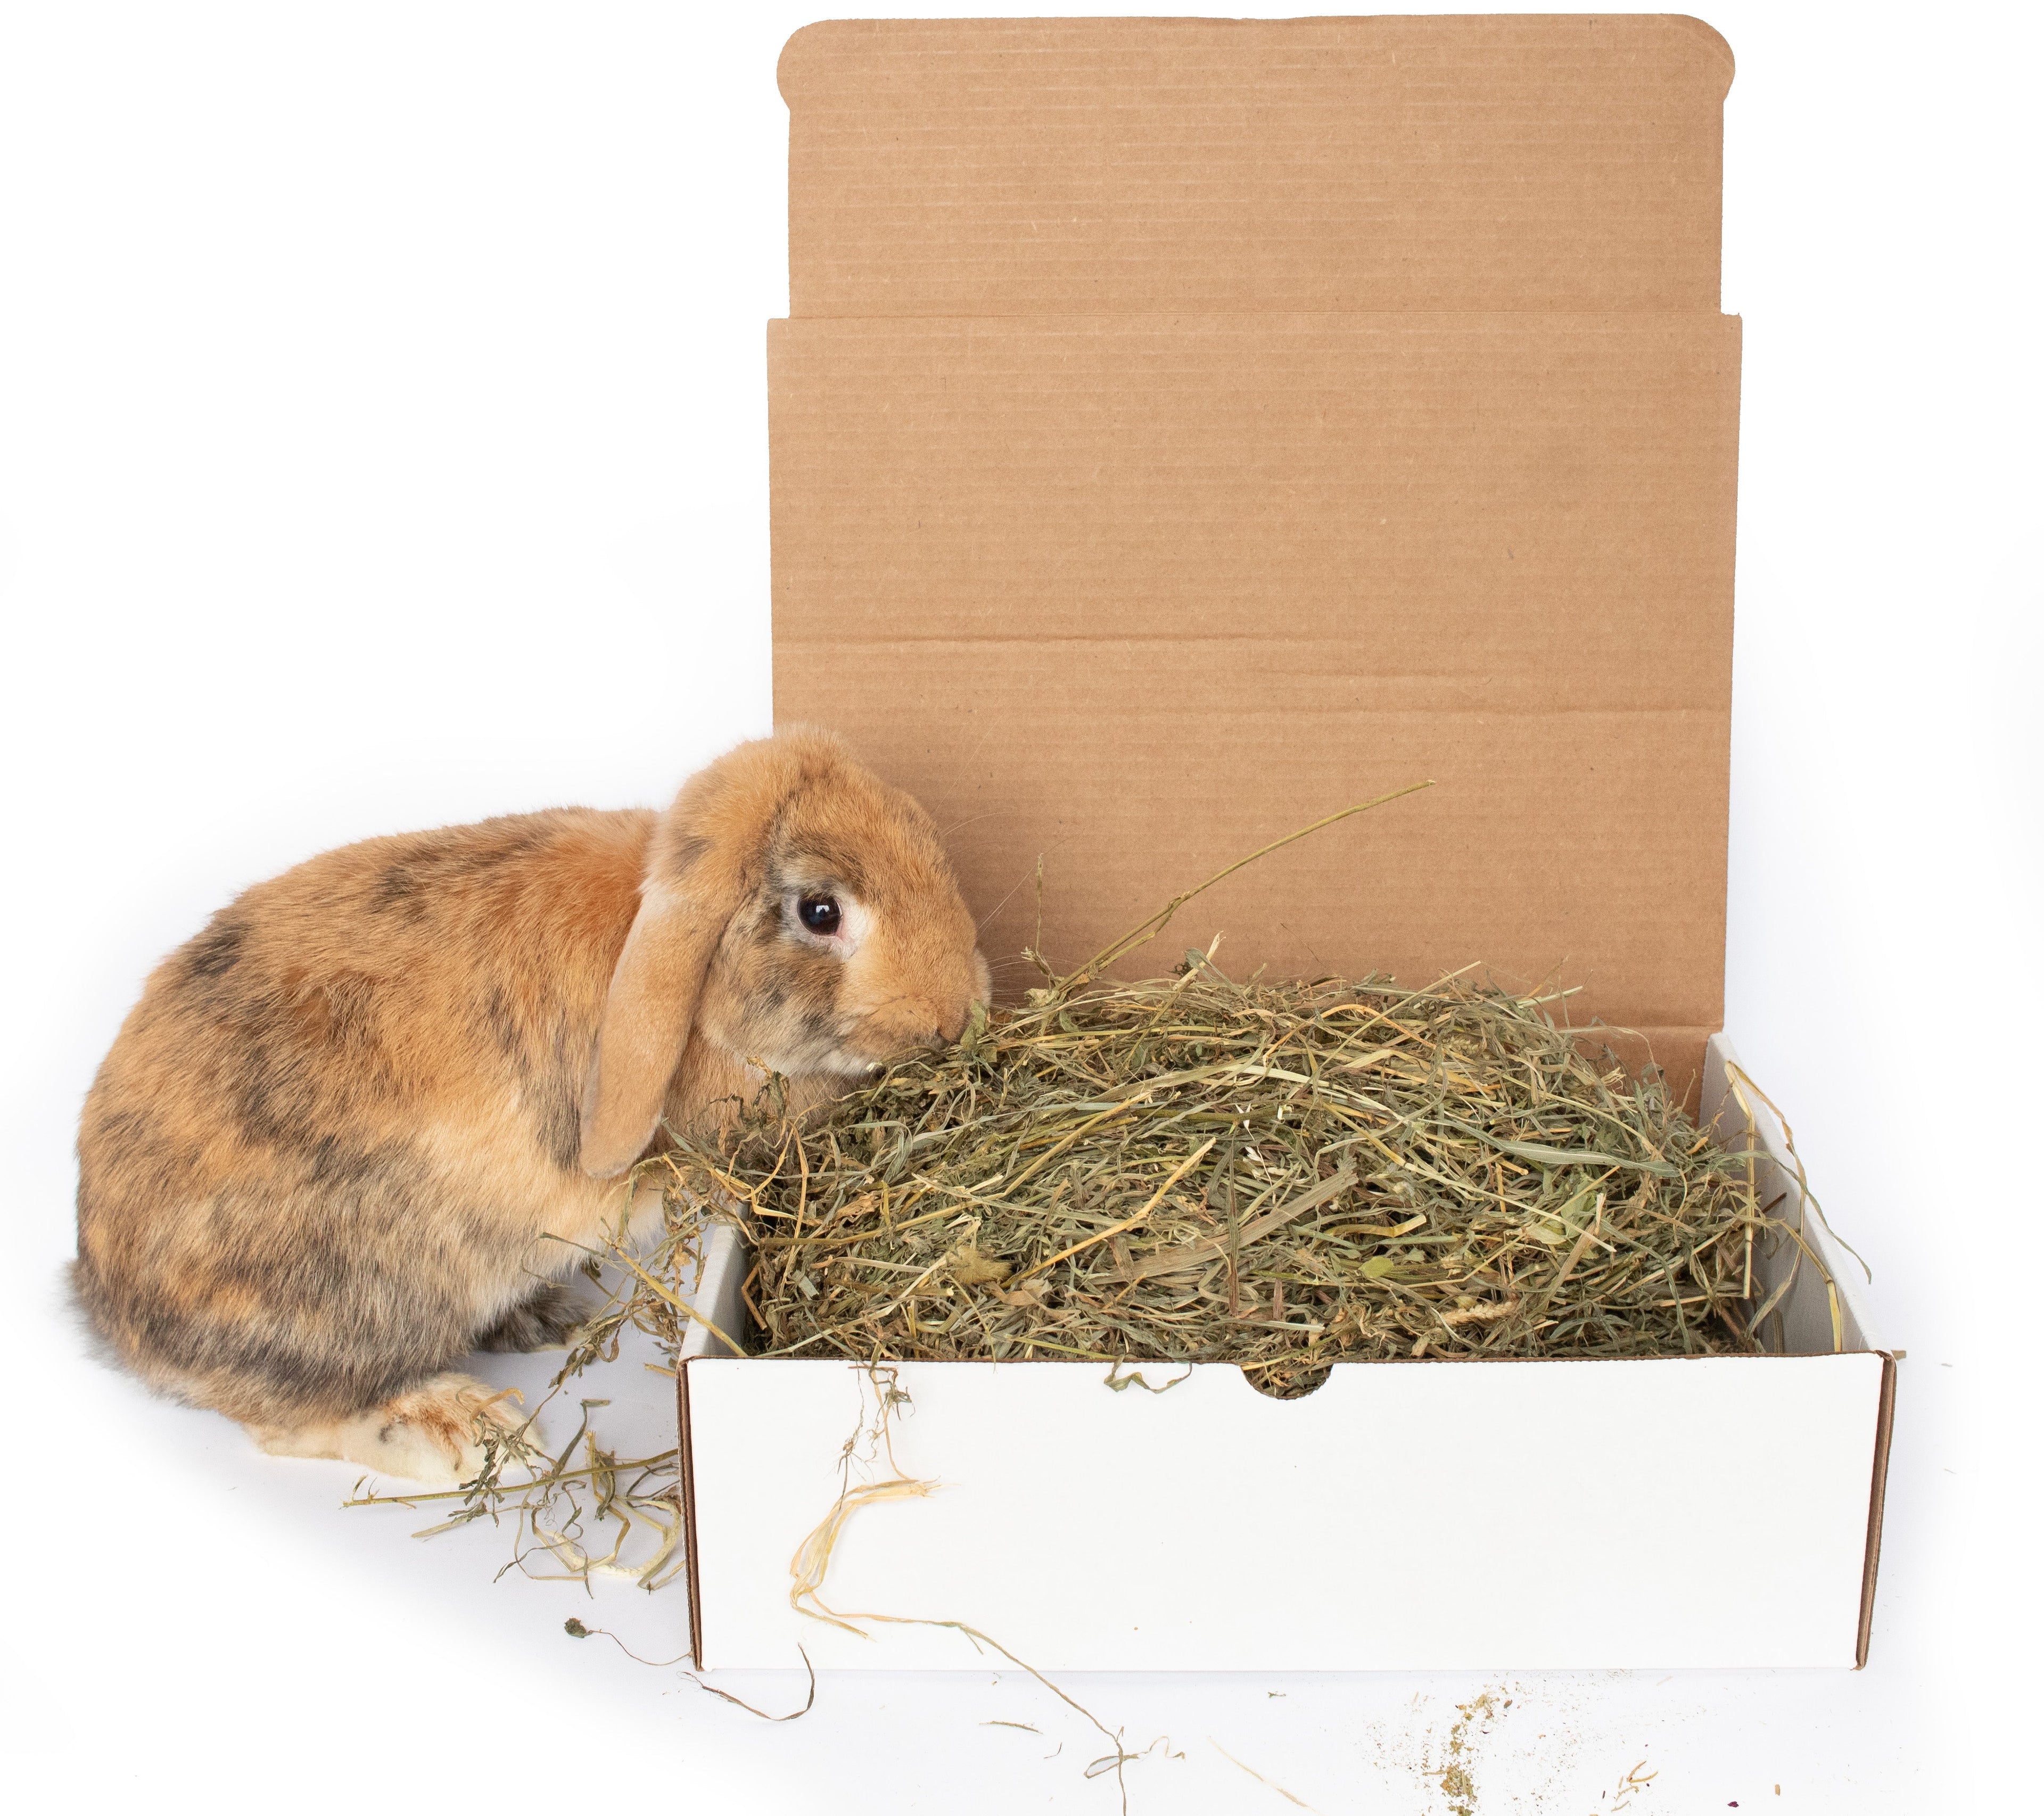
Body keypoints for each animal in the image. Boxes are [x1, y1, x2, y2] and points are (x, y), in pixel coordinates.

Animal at [72, 728, 991, 1484]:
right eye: (820, 911)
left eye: (927, 839)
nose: (956, 1012)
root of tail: (107, 1304)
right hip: (359, 1299)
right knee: (292, 1417)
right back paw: (468, 1431)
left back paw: (541, 1318)